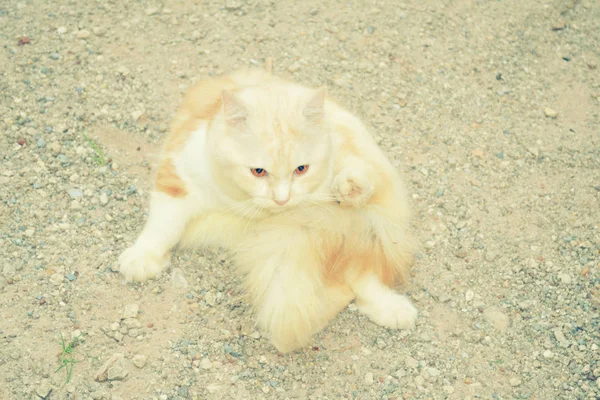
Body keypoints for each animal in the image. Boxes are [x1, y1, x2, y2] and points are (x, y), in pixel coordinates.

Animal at [117, 64, 418, 352]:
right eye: (258, 171)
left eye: (301, 169)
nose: (282, 199)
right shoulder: (178, 178)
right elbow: (162, 226)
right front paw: (142, 257)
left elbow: (354, 180)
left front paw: (350, 186)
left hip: (347, 224)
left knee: (364, 273)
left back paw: (394, 309)